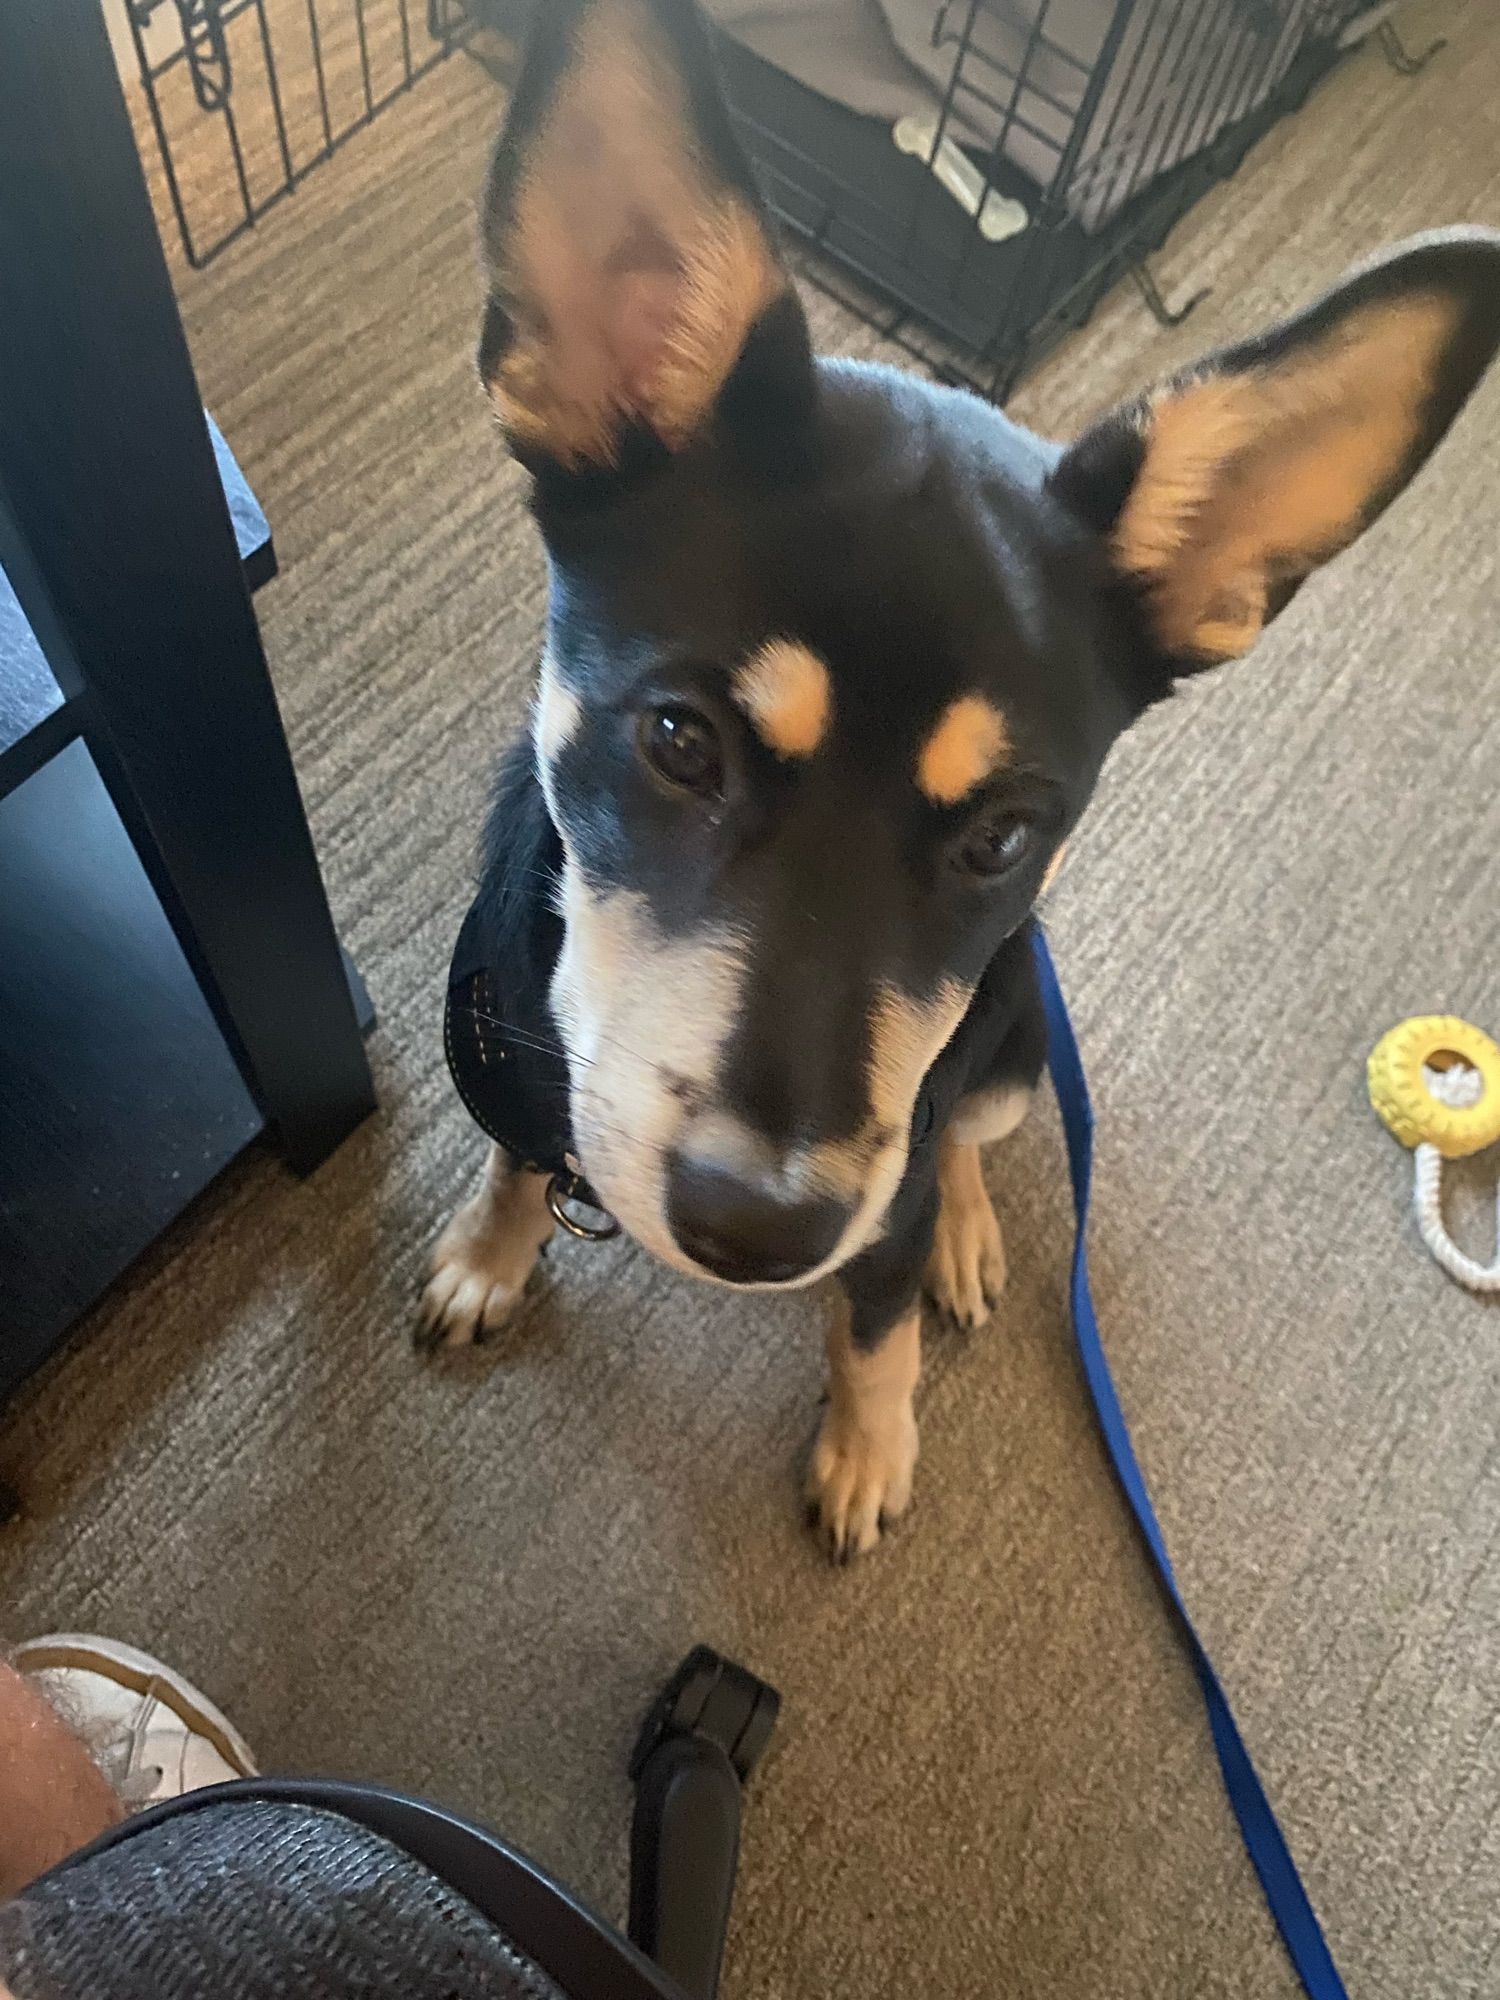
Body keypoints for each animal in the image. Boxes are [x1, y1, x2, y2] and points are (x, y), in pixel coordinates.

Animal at [420, 0, 1500, 1560]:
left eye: (1001, 839)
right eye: (678, 740)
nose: (763, 1232)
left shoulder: (887, 1192)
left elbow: (873, 1332)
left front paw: (869, 1446)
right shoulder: (514, 1079)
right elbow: (515, 1161)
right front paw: (489, 1253)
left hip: (1011, 1042)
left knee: (977, 1145)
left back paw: (972, 1239)